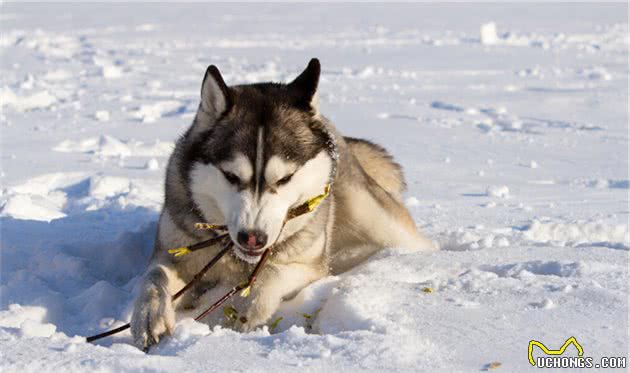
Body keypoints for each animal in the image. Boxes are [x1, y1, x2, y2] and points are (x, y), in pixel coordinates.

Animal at [131, 58, 436, 348]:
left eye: (285, 178)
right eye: (231, 176)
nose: (252, 237)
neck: (237, 258)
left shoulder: (312, 267)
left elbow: (273, 272)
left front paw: (248, 309)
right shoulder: (173, 250)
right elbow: (154, 276)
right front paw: (149, 314)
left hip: (373, 216)